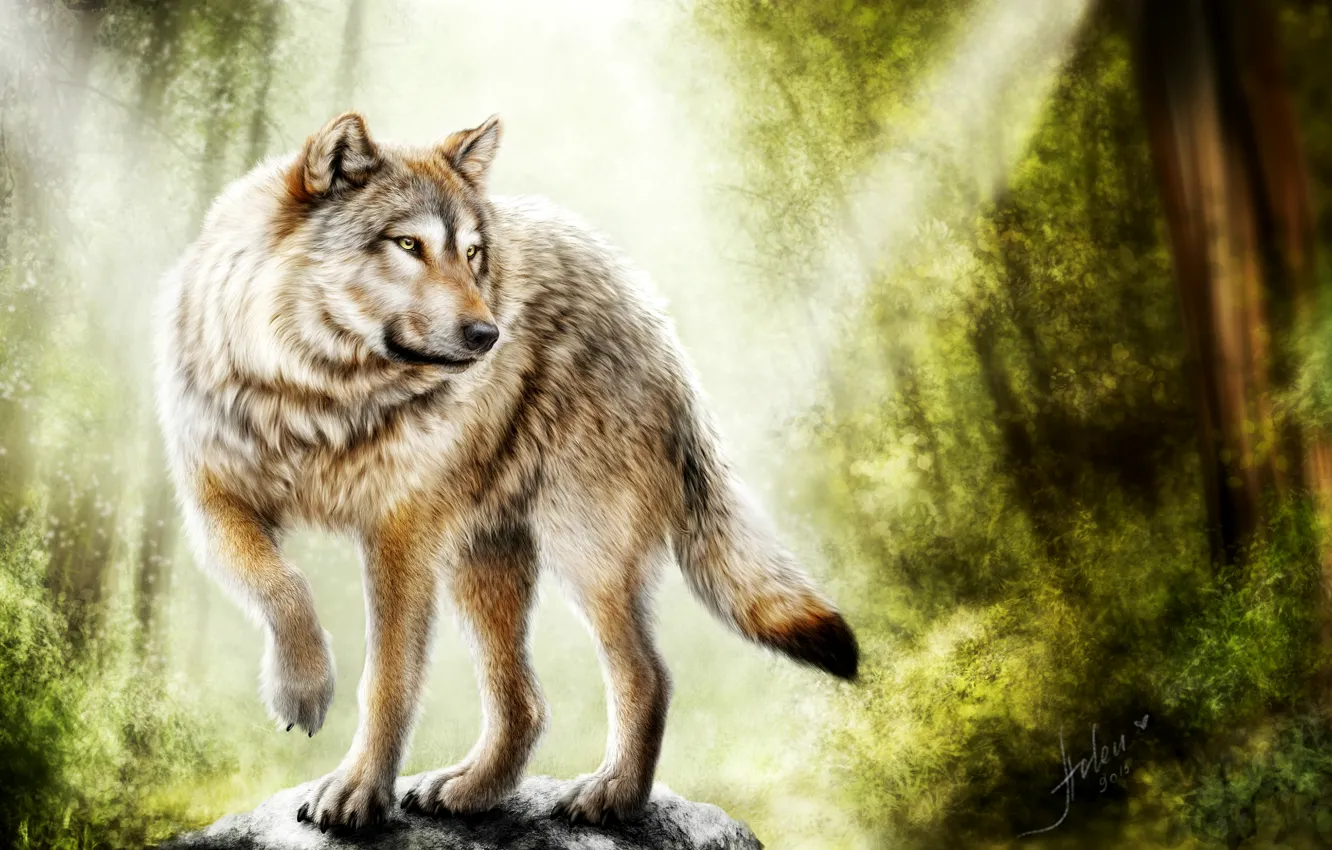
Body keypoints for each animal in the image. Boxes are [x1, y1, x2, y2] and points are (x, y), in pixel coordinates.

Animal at [155, 111, 858, 830]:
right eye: (407, 244)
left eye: (471, 254)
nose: (489, 335)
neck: (318, 399)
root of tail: (652, 319)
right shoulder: (214, 507)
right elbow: (282, 584)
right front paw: (301, 690)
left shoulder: (399, 539)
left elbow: (388, 681)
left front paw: (357, 791)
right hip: (484, 563)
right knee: (526, 703)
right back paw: (471, 789)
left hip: (582, 556)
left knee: (648, 676)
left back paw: (613, 795)